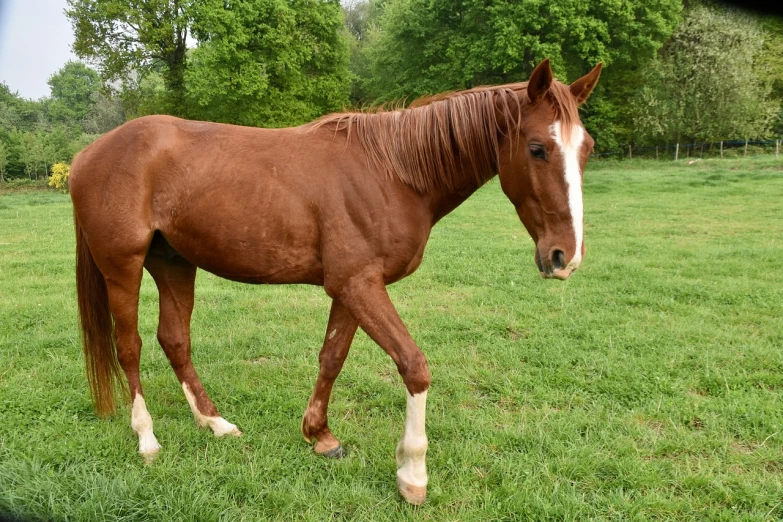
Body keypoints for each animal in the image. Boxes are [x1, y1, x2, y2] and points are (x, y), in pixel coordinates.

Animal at [72, 60, 600, 504]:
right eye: (537, 148)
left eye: (586, 148)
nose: (565, 257)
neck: (393, 174)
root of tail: (87, 155)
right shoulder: (358, 285)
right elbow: (414, 366)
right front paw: (412, 473)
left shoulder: (352, 288)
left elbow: (332, 357)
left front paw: (320, 436)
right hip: (123, 267)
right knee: (130, 347)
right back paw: (147, 438)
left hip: (174, 263)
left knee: (174, 339)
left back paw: (214, 422)